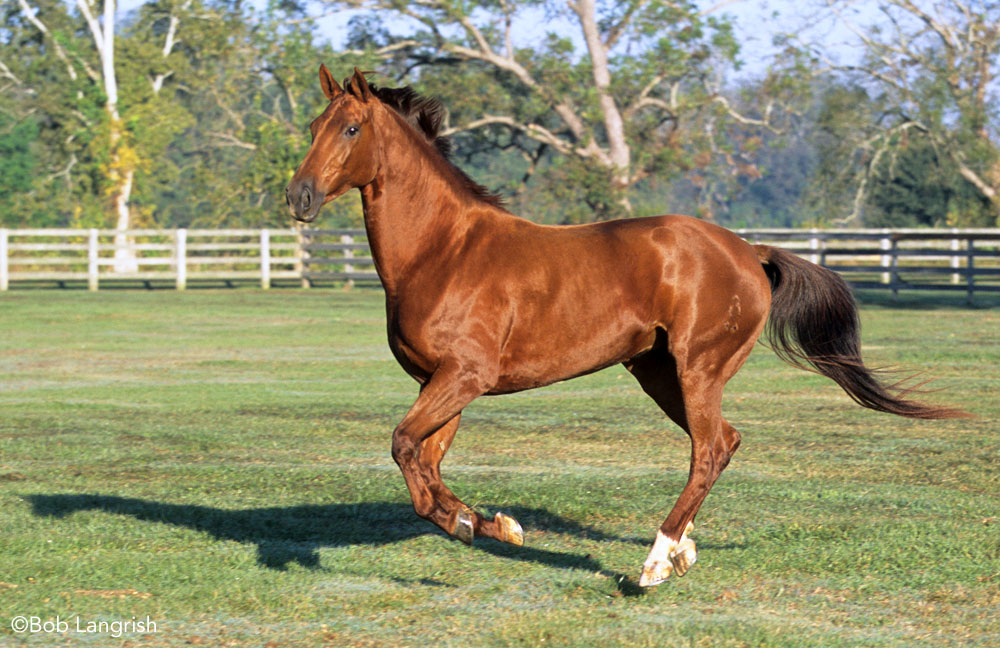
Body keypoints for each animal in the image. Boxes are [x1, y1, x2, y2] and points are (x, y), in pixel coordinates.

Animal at [286, 67, 964, 588]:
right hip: (659, 373)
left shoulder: (464, 375)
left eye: (351, 128)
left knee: (709, 449)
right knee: (723, 443)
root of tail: (749, 252)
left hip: (698, 367)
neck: (443, 251)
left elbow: (406, 450)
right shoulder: (441, 382)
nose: (299, 197)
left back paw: (655, 563)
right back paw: (682, 552)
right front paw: (488, 522)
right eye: (314, 127)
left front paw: (482, 523)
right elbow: (425, 464)